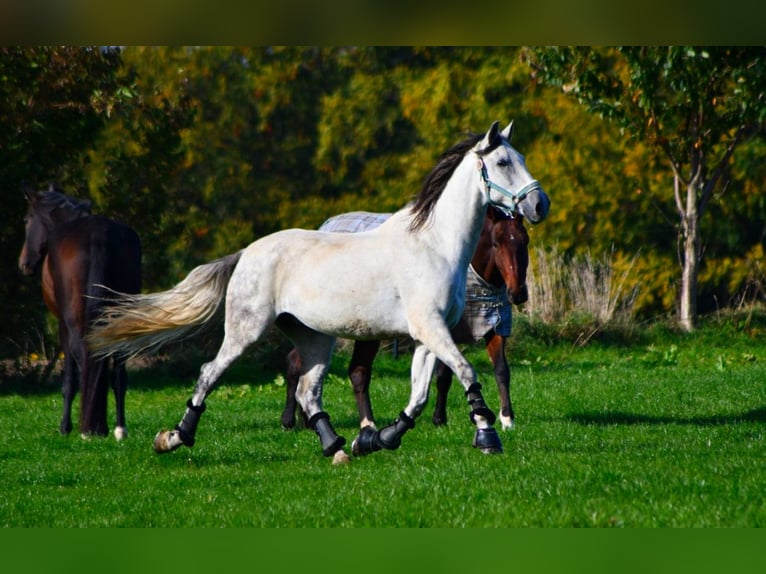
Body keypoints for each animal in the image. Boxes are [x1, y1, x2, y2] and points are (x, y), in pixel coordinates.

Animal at [19, 186, 142, 440]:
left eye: (27, 220)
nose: (24, 263)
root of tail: (97, 234)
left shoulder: (62, 326)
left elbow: (69, 379)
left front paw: (64, 427)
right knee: (119, 372)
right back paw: (119, 429)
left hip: (74, 322)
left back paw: (88, 428)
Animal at [284, 207, 532, 432]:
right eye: (496, 243)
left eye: (525, 242)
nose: (518, 293)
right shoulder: (442, 329)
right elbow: (444, 377)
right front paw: (439, 419)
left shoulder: (496, 326)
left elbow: (501, 370)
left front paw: (507, 419)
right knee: (342, 370)